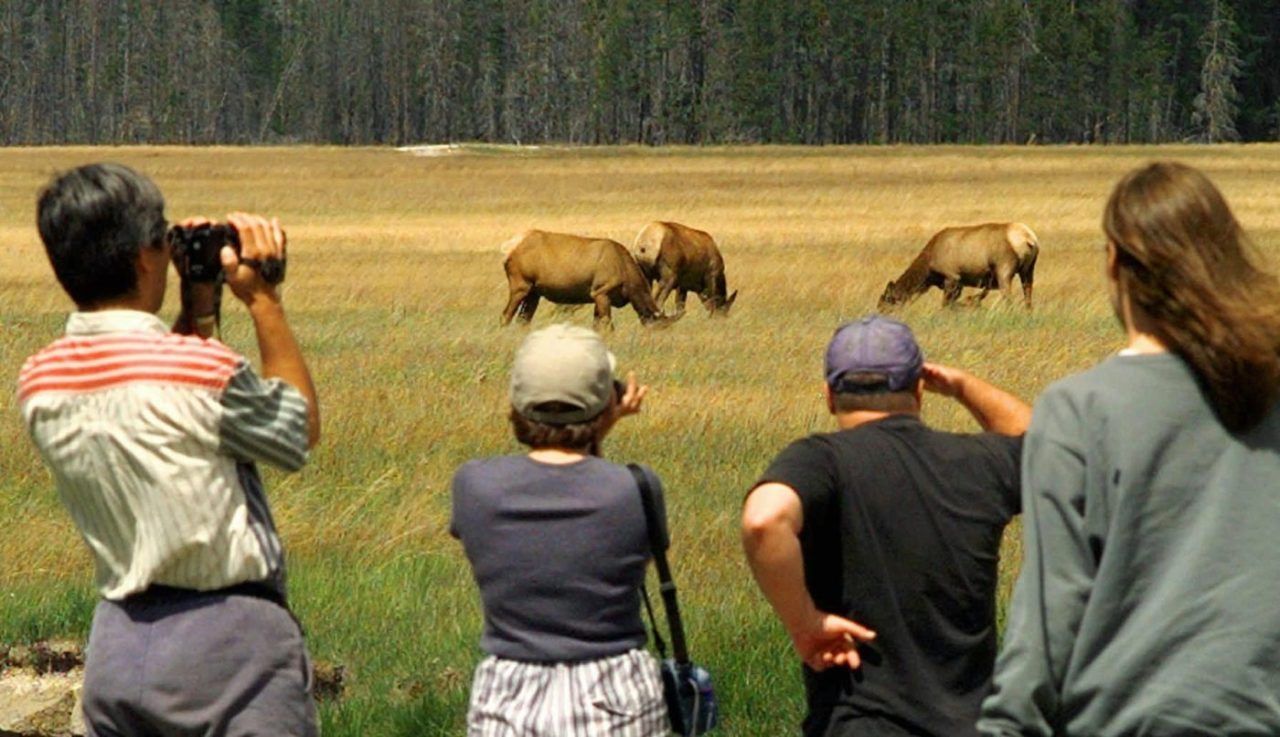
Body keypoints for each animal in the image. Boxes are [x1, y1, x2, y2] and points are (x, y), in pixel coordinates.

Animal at [499, 229, 680, 330]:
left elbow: (596, 325)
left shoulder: (597, 297)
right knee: (506, 315)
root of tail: (509, 249)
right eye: (658, 327)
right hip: (520, 285)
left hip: (534, 293)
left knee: (523, 319)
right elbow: (608, 325)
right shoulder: (601, 292)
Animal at [880, 221, 1039, 308]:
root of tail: (1029, 239)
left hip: (1004, 269)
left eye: (888, 299)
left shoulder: (952, 277)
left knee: (1008, 298)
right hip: (1028, 270)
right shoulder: (960, 283)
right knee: (1028, 295)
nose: (881, 310)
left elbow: (946, 305)